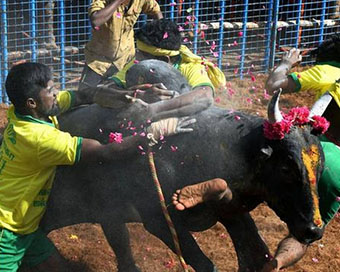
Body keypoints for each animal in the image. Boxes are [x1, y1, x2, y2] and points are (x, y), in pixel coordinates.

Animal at [41, 60, 324, 272]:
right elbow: (206, 264)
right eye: (286, 168)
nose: (313, 229)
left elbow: (257, 255)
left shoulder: (233, 212)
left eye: (320, 168)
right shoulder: (159, 221)